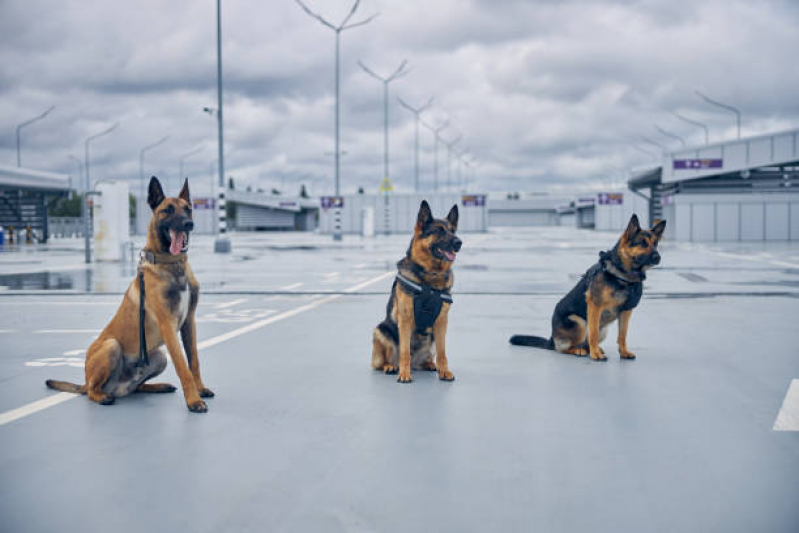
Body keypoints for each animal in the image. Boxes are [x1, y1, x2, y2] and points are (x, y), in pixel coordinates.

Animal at [47, 178, 212, 412]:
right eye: (167, 210)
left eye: (188, 209)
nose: (188, 224)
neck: (172, 264)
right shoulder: (168, 325)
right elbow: (183, 367)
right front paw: (193, 400)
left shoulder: (189, 321)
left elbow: (193, 361)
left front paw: (201, 389)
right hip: (111, 347)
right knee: (91, 391)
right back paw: (102, 397)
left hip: (159, 356)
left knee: (136, 387)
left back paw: (157, 386)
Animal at [370, 200, 462, 382]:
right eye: (439, 231)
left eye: (452, 230)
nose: (459, 242)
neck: (431, 277)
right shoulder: (405, 319)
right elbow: (405, 352)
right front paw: (404, 375)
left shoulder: (442, 321)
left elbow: (442, 352)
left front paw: (444, 371)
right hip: (380, 331)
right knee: (385, 360)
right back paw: (391, 367)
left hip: (431, 339)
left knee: (429, 356)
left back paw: (429, 364)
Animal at [510, 214, 664, 360]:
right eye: (642, 244)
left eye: (655, 244)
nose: (658, 257)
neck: (623, 275)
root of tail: (552, 339)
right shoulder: (595, 306)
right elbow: (593, 333)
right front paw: (595, 355)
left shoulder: (626, 311)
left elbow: (622, 335)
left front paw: (624, 352)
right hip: (579, 322)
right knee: (565, 348)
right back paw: (581, 351)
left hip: (603, 329)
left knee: (584, 343)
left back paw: (591, 349)